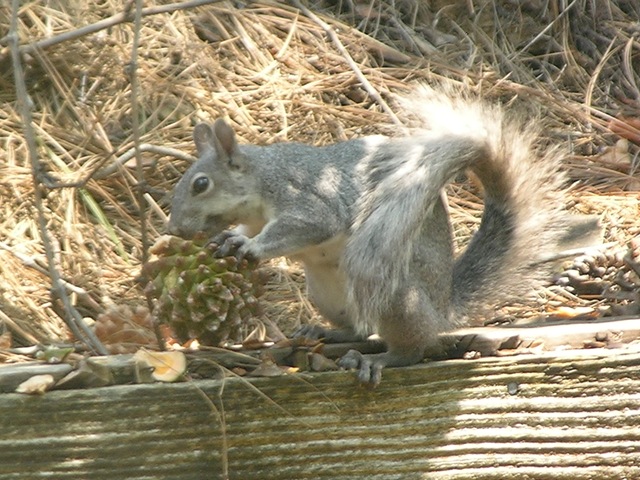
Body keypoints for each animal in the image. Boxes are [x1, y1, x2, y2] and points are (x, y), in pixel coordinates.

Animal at [167, 85, 600, 386]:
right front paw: (226, 239)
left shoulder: (308, 199)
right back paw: (325, 331)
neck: (262, 180)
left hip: (395, 295)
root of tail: (442, 310)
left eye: (201, 184)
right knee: (360, 329)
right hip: (327, 292)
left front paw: (247, 245)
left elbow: (306, 226)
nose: (173, 229)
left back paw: (377, 359)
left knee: (412, 349)